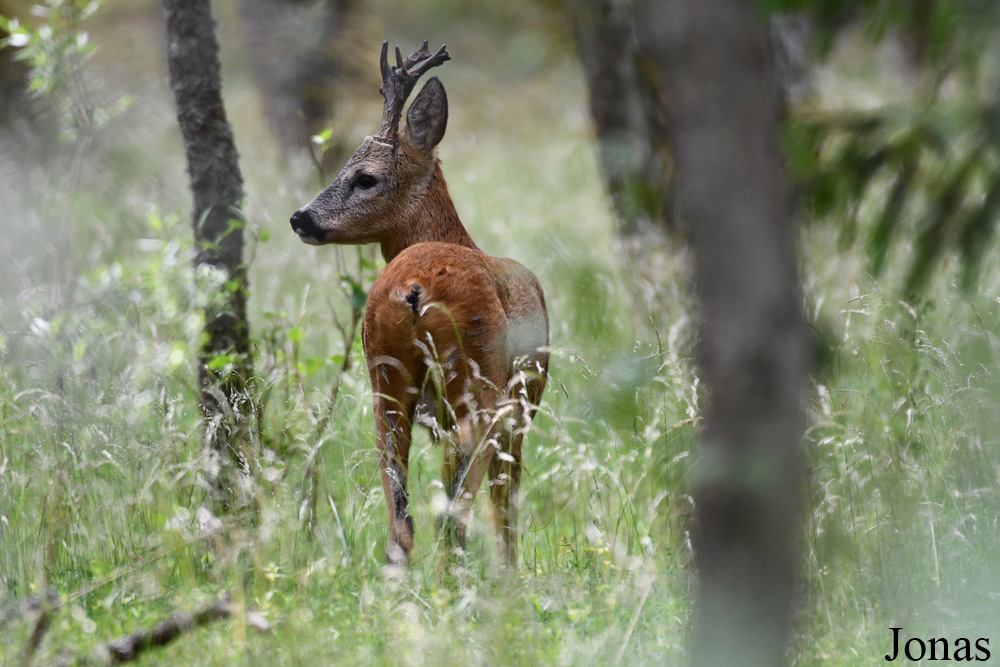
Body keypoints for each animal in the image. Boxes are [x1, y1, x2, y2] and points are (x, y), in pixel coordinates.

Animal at [290, 39, 552, 568]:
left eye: (364, 177)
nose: (299, 218)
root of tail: (414, 288)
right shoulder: (519, 411)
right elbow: (505, 509)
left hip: (385, 378)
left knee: (401, 519)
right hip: (477, 386)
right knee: (456, 516)